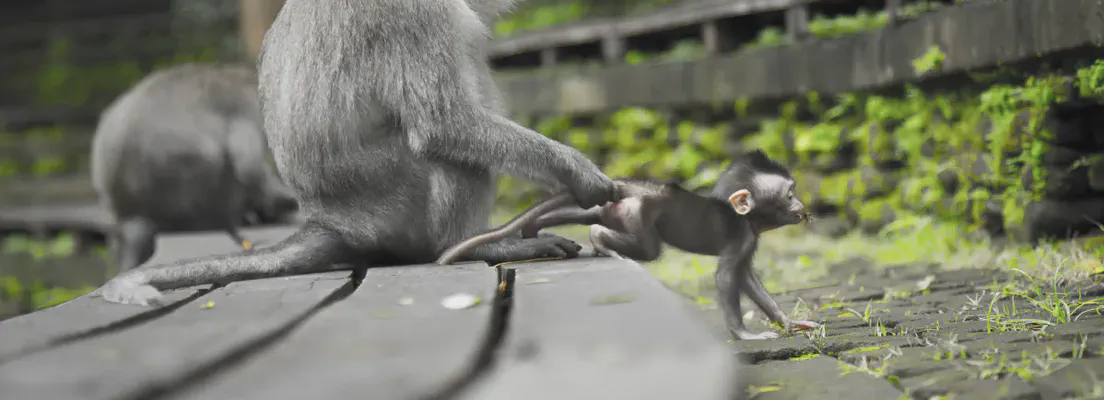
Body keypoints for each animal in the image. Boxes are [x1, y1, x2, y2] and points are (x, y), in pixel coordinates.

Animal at [437, 150, 821, 340]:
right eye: (789, 194)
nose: (803, 208)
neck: (743, 216)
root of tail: (635, 187)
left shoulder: (749, 239)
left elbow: (747, 279)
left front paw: (787, 322)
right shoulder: (740, 235)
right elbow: (728, 278)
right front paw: (744, 333)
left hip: (619, 209)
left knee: (592, 211)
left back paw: (536, 228)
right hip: (638, 214)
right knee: (642, 246)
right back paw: (599, 241)